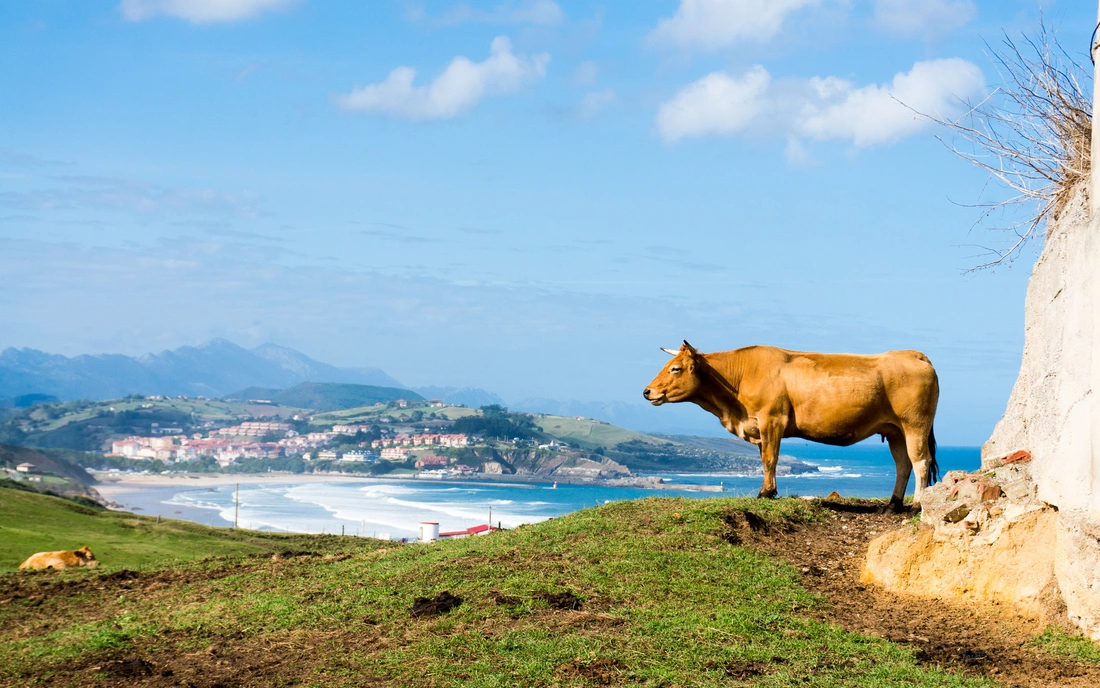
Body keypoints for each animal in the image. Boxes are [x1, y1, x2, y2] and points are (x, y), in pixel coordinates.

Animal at [642, 341, 941, 506]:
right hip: (895, 430)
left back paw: (916, 504)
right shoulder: (759, 425)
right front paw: (769, 490)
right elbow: (765, 458)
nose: (647, 391)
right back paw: (892, 505)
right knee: (903, 464)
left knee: (920, 461)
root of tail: (913, 354)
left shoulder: (772, 419)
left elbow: (770, 459)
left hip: (915, 424)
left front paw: (766, 493)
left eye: (675, 368)